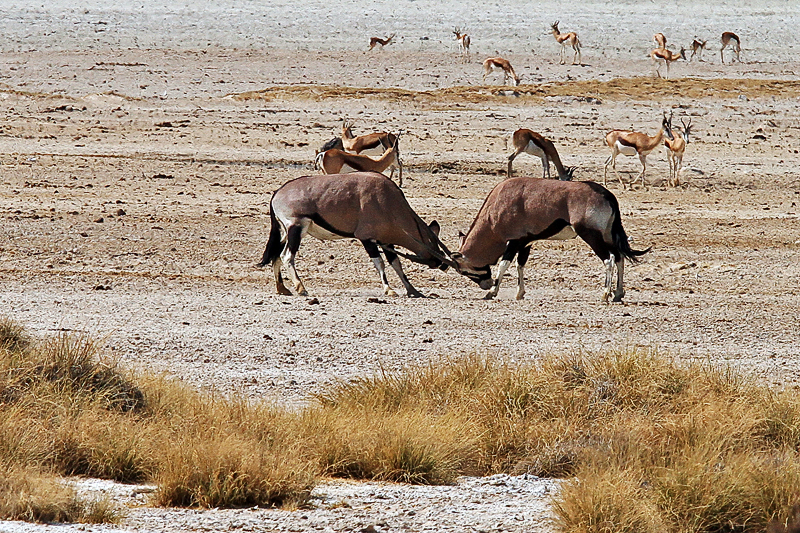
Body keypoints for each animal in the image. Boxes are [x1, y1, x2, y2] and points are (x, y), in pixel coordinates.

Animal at [260, 171, 454, 298]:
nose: (443, 265)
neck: (388, 201)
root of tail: (278, 193)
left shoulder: (386, 241)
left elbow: (396, 264)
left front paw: (413, 290)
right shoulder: (367, 239)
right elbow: (380, 263)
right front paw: (389, 290)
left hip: (286, 232)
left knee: (276, 254)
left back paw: (282, 289)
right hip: (296, 227)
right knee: (287, 256)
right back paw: (301, 288)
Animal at [454, 178, 648, 302]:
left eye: (463, 271)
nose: (485, 285)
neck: (495, 208)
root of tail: (607, 196)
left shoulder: (514, 242)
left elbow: (504, 264)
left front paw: (493, 292)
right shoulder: (526, 242)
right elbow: (520, 265)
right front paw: (519, 293)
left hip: (591, 236)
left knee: (609, 259)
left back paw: (606, 294)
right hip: (607, 236)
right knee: (620, 257)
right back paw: (618, 294)